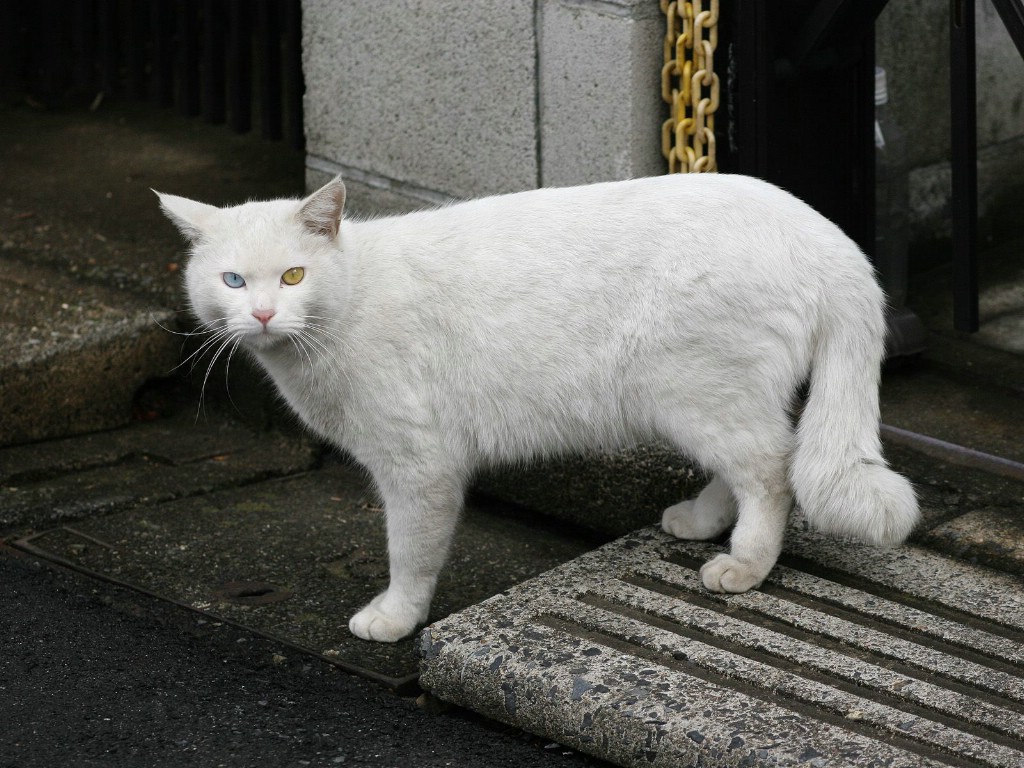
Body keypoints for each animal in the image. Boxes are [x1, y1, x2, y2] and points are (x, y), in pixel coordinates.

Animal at [159, 174, 921, 643]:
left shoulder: (419, 467)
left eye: (294, 276)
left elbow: (411, 553)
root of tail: (830, 238)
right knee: (749, 465)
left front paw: (397, 618)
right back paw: (703, 522)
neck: (346, 306)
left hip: (698, 391)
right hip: (703, 398)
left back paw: (745, 566)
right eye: (232, 280)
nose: (262, 314)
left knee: (772, 471)